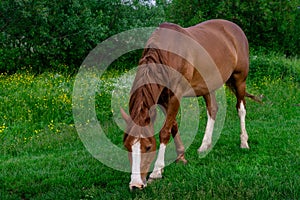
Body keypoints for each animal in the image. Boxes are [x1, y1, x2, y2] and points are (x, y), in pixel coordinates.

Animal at [119, 19, 260, 190]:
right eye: (127, 146)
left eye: (148, 147)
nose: (135, 184)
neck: (168, 54)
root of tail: (235, 28)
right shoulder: (163, 100)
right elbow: (173, 126)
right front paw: (181, 157)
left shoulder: (175, 95)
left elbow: (165, 132)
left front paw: (157, 171)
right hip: (208, 85)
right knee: (213, 109)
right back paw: (205, 145)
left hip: (240, 79)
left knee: (241, 109)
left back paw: (244, 142)